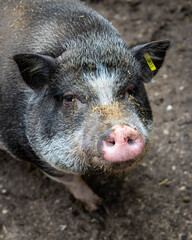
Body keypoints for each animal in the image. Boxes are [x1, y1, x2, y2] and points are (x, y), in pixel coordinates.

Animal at [0, 0, 170, 210]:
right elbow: (70, 180)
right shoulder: (28, 150)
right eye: (70, 98)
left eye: (130, 90)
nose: (121, 128)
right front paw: (97, 207)